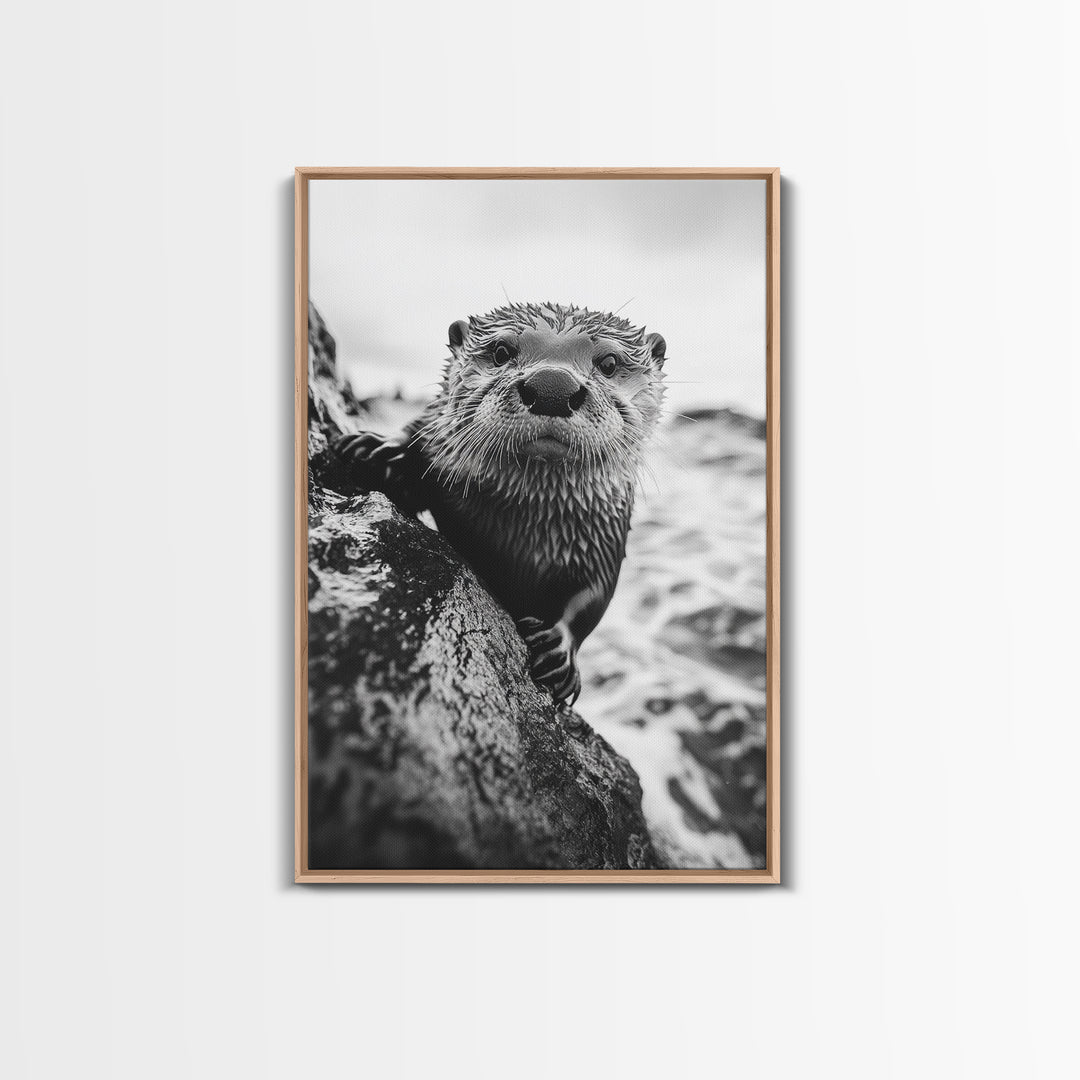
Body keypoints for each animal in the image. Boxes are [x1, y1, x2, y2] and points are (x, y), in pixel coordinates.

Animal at [330, 302, 666, 705]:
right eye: (502, 351)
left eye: (610, 362)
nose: (552, 387)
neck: (521, 526)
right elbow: (418, 431)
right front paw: (380, 449)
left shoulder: (604, 535)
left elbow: (591, 597)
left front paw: (558, 650)